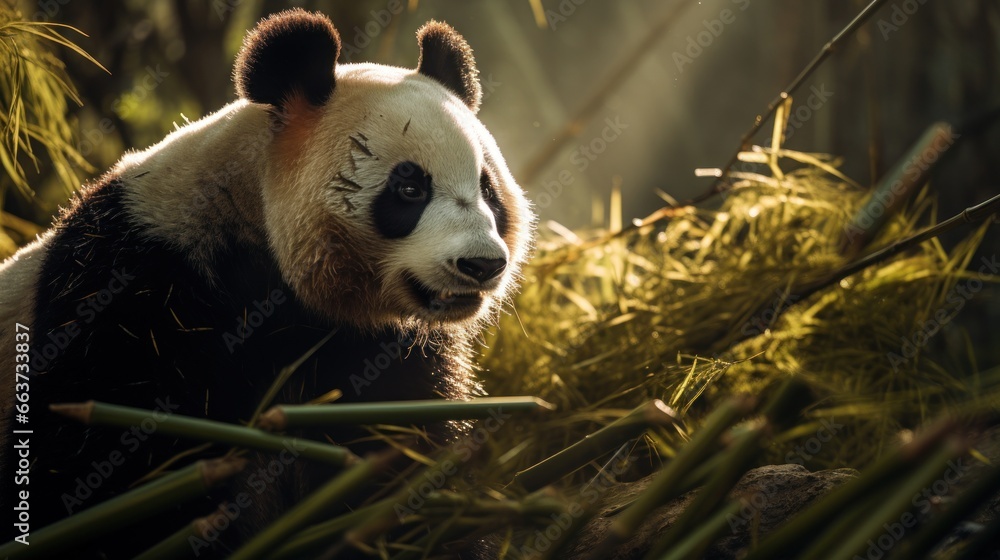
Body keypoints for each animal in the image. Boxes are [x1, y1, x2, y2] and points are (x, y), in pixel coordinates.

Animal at [0, 7, 536, 556]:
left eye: (487, 190)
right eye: (409, 187)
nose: (482, 264)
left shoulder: (380, 349)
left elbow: (397, 456)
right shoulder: (129, 298)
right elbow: (110, 469)